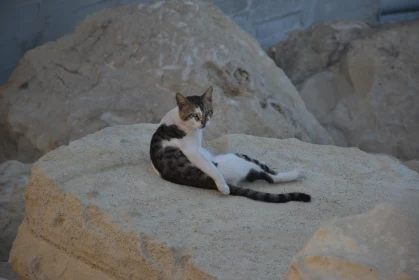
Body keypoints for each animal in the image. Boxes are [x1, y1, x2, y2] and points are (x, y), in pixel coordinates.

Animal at [148, 86, 312, 203]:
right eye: (195, 115)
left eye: (208, 112)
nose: (204, 123)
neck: (178, 120)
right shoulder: (192, 151)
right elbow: (211, 168)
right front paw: (223, 187)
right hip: (240, 157)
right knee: (270, 176)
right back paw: (296, 173)